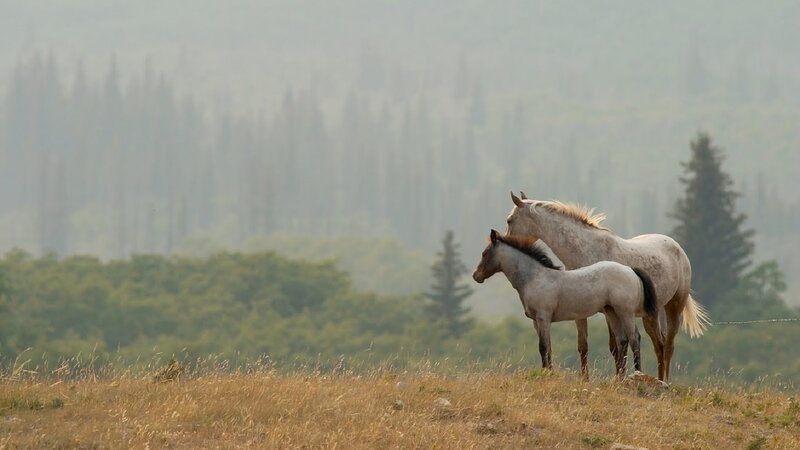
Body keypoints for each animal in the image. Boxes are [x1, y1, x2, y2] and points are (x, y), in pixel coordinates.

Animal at [472, 229, 658, 378]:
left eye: (484, 253)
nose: (476, 276)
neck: (535, 277)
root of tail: (630, 270)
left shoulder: (543, 318)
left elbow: (543, 347)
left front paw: (546, 374)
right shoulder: (536, 322)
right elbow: (548, 348)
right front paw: (548, 372)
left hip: (625, 312)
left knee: (634, 339)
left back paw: (637, 375)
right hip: (611, 311)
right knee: (622, 341)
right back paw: (618, 379)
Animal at [506, 192, 710, 381]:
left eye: (509, 220)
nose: (506, 241)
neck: (586, 250)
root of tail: (677, 248)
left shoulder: (609, 311)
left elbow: (617, 346)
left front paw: (619, 377)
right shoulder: (581, 311)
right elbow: (584, 345)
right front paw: (586, 379)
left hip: (674, 307)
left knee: (668, 345)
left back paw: (664, 381)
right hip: (650, 314)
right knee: (659, 344)